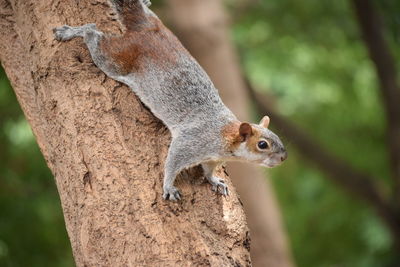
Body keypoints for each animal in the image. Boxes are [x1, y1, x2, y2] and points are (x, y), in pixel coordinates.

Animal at [53, 0, 286, 201]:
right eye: (263, 144)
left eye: (276, 137)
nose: (284, 157)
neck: (224, 135)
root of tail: (145, 29)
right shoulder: (191, 142)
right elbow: (172, 162)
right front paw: (168, 186)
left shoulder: (211, 158)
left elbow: (208, 171)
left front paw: (214, 180)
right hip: (115, 59)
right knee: (93, 33)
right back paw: (72, 31)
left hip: (154, 23)